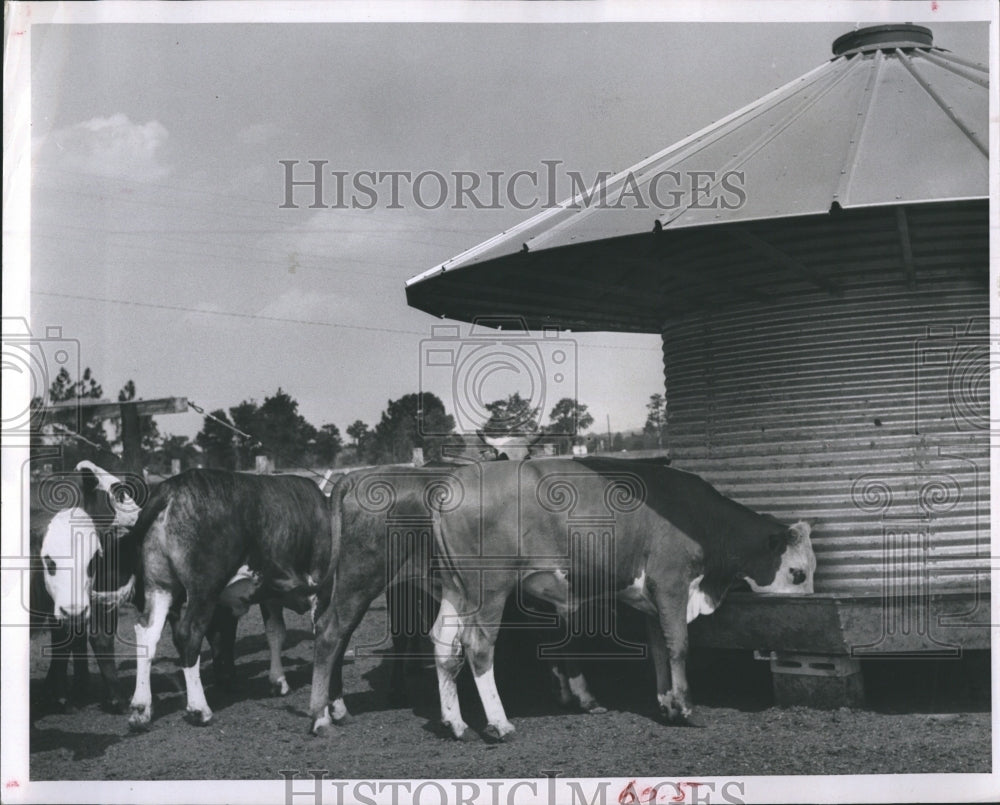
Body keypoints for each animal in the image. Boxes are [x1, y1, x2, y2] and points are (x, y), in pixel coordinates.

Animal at [124, 468, 336, 732]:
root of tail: (173, 487)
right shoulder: (320, 585)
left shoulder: (268, 592)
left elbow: (275, 633)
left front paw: (278, 681)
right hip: (203, 589)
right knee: (188, 635)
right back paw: (199, 709)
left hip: (160, 586)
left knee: (147, 633)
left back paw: (141, 708)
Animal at [422, 458, 812, 740]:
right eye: (798, 573)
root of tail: (456, 482)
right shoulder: (671, 585)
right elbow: (679, 646)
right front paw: (687, 709)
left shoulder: (653, 599)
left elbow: (659, 648)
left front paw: (668, 704)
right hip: (489, 589)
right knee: (478, 646)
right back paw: (500, 724)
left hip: (457, 588)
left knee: (442, 641)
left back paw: (455, 724)